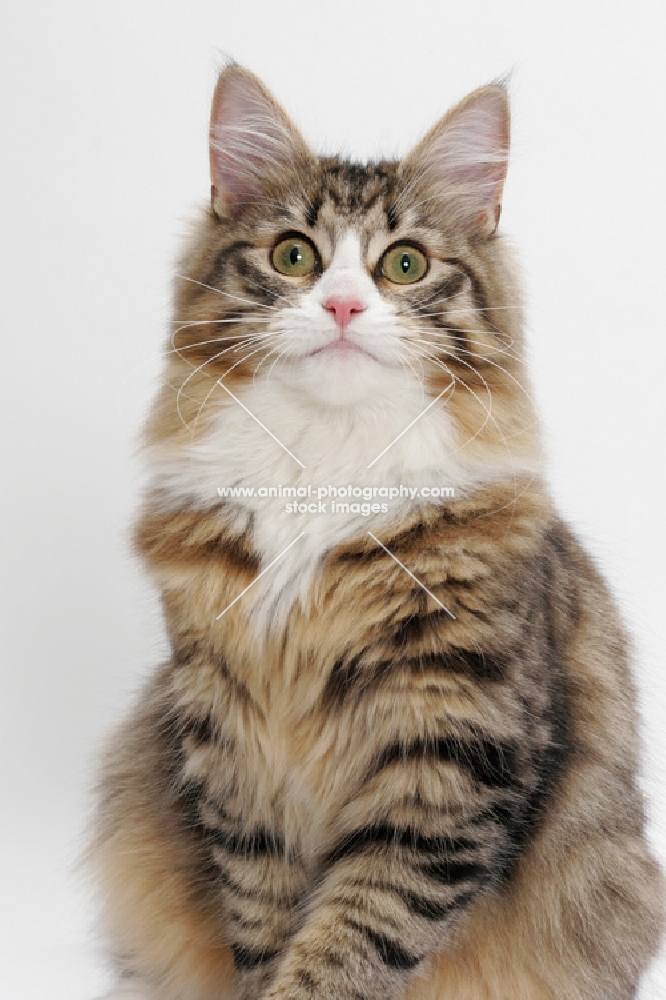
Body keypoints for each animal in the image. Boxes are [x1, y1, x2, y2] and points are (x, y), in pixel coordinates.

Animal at [88, 64, 660, 1000]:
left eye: (404, 264)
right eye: (294, 256)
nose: (346, 305)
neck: (324, 459)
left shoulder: (449, 755)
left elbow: (355, 942)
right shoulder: (235, 747)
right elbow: (265, 923)